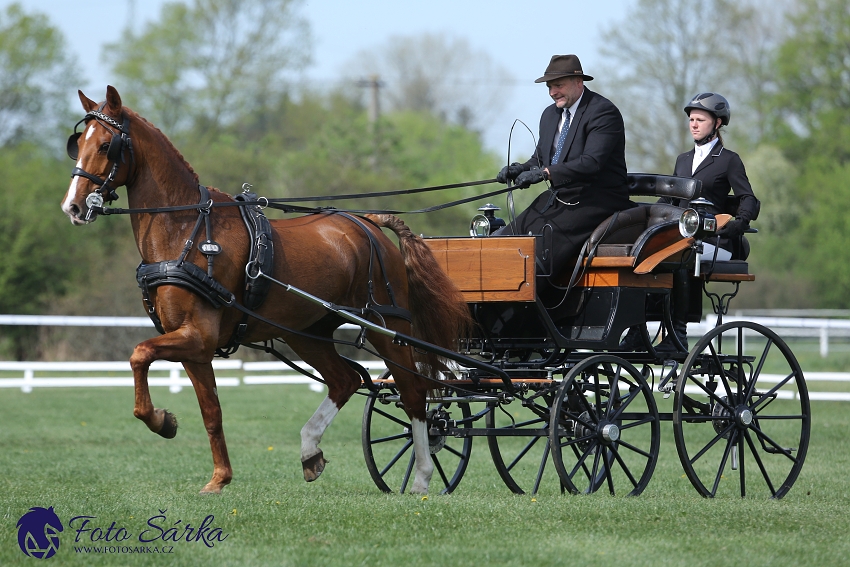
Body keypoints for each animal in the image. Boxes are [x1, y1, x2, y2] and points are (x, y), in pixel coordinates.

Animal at [59, 86, 470, 494]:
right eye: (77, 144)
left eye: (107, 145)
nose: (73, 207)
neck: (186, 229)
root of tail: (369, 223)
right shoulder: (195, 347)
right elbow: (211, 412)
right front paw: (218, 476)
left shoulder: (197, 336)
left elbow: (139, 354)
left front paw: (162, 421)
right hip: (307, 332)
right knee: (346, 380)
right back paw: (310, 451)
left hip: (388, 328)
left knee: (413, 391)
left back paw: (421, 478)